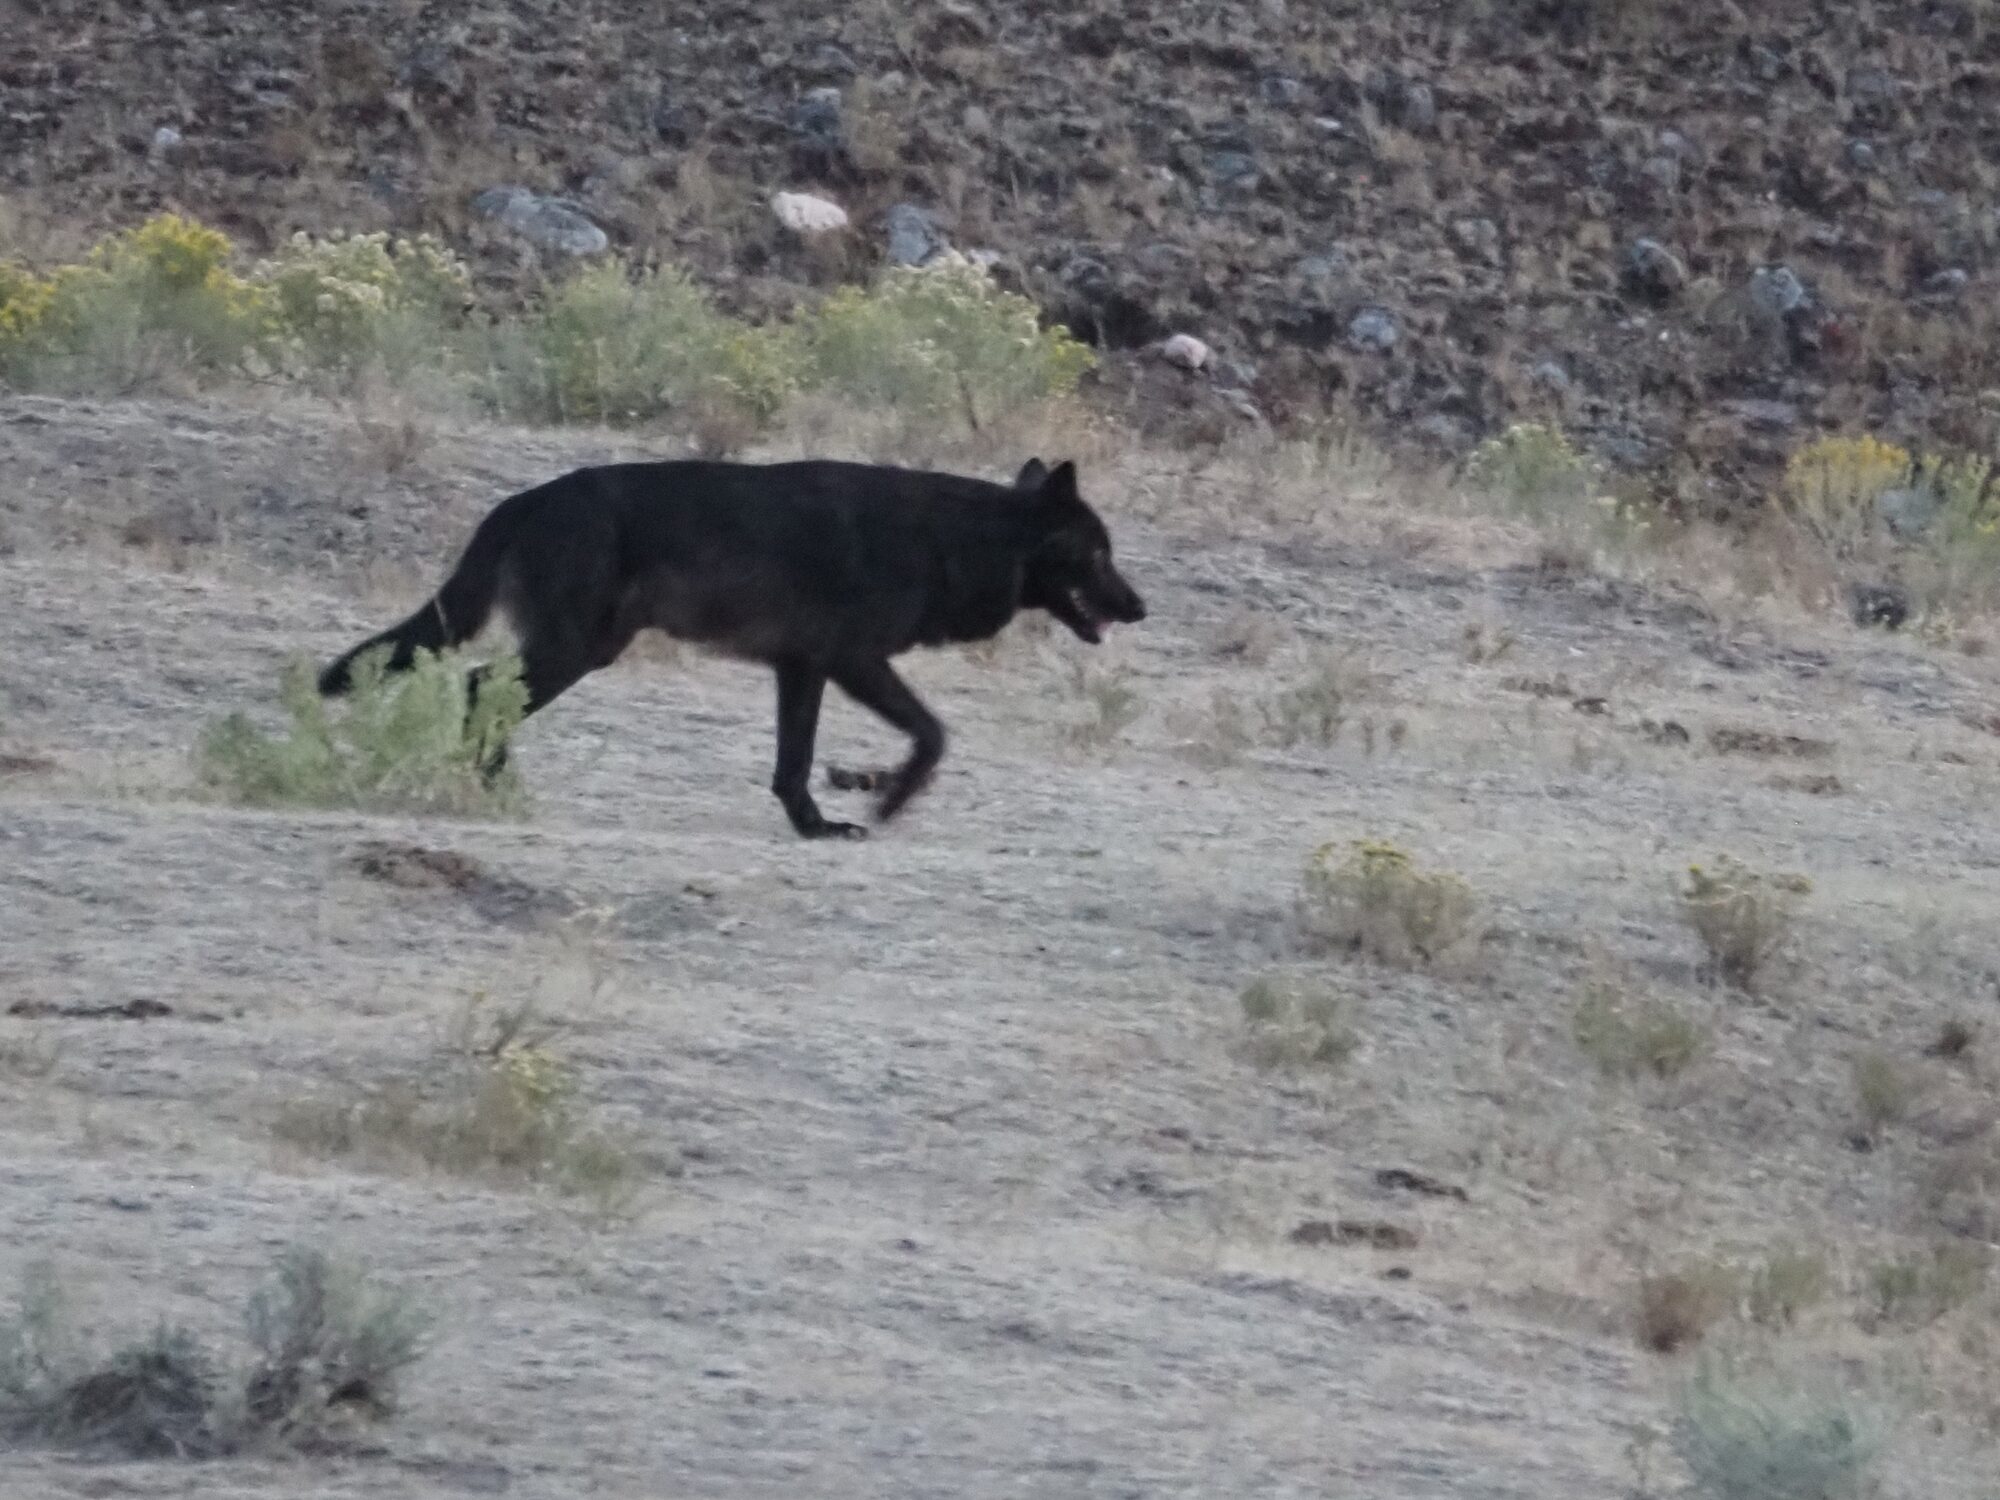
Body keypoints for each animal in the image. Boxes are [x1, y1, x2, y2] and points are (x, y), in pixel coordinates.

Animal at [317, 455, 1147, 838]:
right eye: (1101, 555)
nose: (1142, 608)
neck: (952, 542)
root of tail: (520, 499)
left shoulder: (802, 670)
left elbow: (793, 765)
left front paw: (818, 824)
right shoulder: (854, 663)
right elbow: (934, 736)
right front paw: (886, 798)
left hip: (581, 650)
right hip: (573, 652)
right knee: (476, 686)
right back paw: (490, 782)